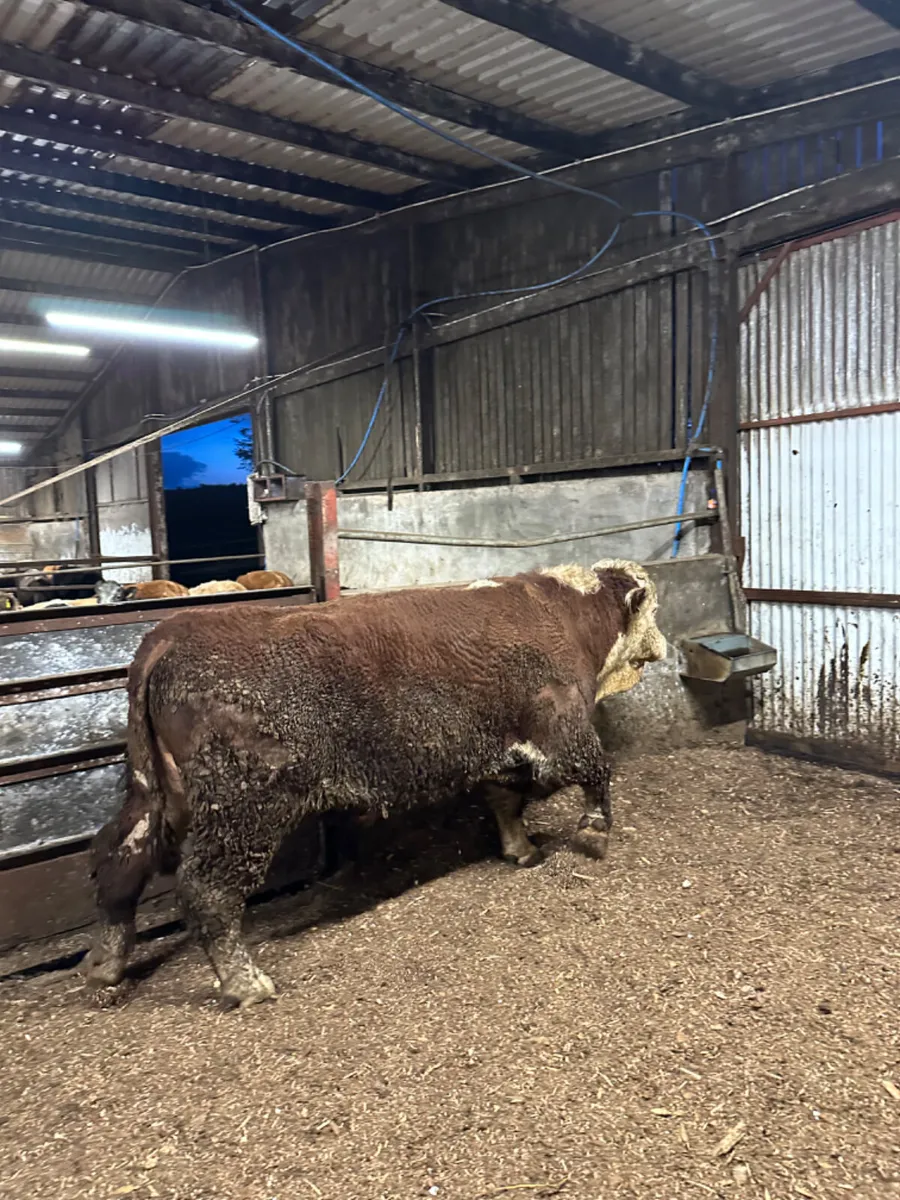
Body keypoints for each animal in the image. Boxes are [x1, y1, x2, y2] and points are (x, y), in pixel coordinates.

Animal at [84, 559, 666, 1009]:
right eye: (654, 611)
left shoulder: (502, 755)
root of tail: (170, 634)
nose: (662, 648)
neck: (563, 615)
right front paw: (593, 833)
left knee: (120, 862)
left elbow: (506, 800)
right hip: (243, 808)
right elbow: (595, 773)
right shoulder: (560, 734)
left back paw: (106, 965)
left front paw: (519, 848)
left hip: (156, 795)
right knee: (207, 889)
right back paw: (245, 983)